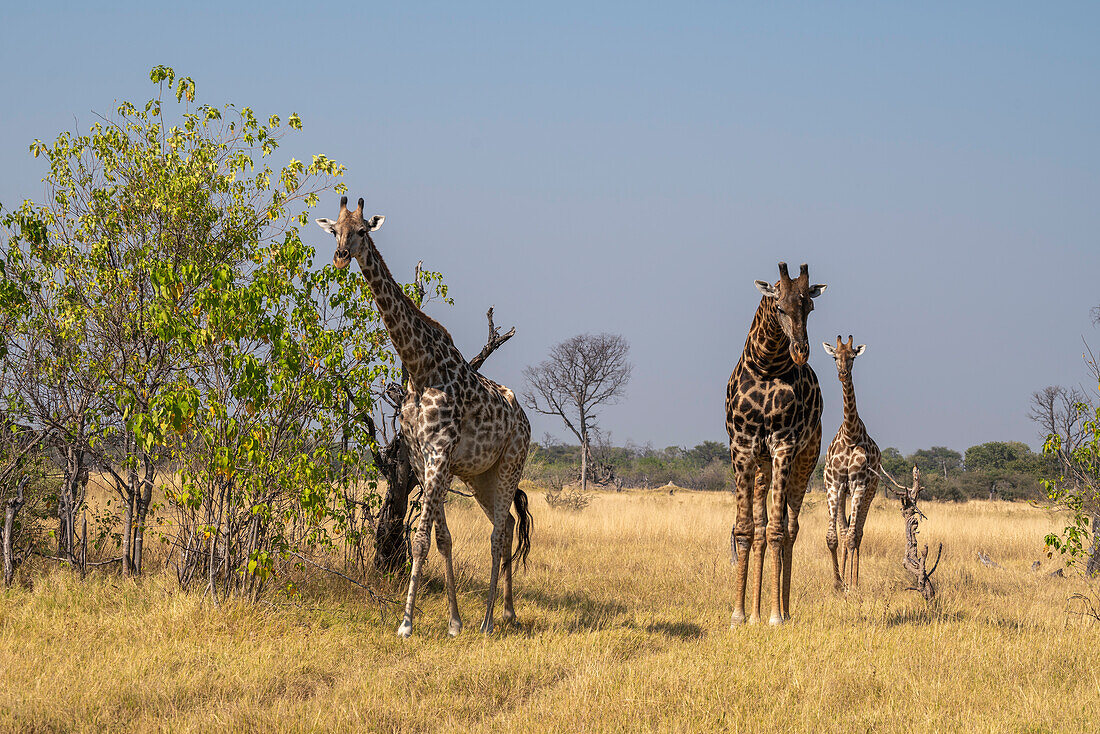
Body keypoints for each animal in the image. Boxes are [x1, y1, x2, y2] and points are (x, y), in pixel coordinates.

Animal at [316, 194, 530, 638]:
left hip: (510, 465)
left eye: (361, 230)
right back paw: (508, 613)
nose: (341, 256)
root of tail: (526, 421)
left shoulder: (438, 453)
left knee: (498, 534)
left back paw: (488, 621)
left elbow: (419, 540)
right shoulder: (420, 456)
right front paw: (453, 622)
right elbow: (443, 538)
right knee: (507, 527)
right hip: (481, 476)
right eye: (334, 230)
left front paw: (406, 623)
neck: (419, 367)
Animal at [721, 259, 827, 625]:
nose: (801, 351)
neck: (767, 367)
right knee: (760, 528)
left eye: (809, 307)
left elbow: (778, 530)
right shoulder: (742, 445)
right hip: (762, 464)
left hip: (806, 459)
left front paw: (775, 616)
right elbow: (745, 529)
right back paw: (753, 613)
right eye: (779, 306)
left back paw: (784, 609)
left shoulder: (785, 444)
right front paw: (739, 615)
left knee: (790, 527)